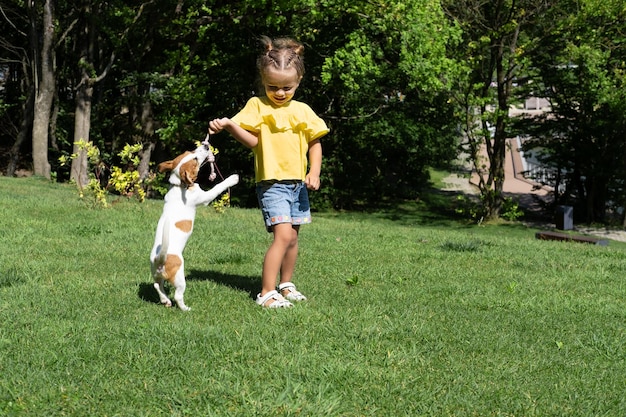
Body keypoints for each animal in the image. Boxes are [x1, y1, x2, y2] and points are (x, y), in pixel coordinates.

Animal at [151, 140, 239, 308]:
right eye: (196, 160)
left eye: (190, 151)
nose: (205, 145)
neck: (180, 185)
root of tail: (160, 259)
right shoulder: (204, 197)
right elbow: (217, 187)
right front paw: (233, 178)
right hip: (180, 279)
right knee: (178, 295)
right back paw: (185, 308)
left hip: (157, 275)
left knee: (157, 285)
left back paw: (165, 300)